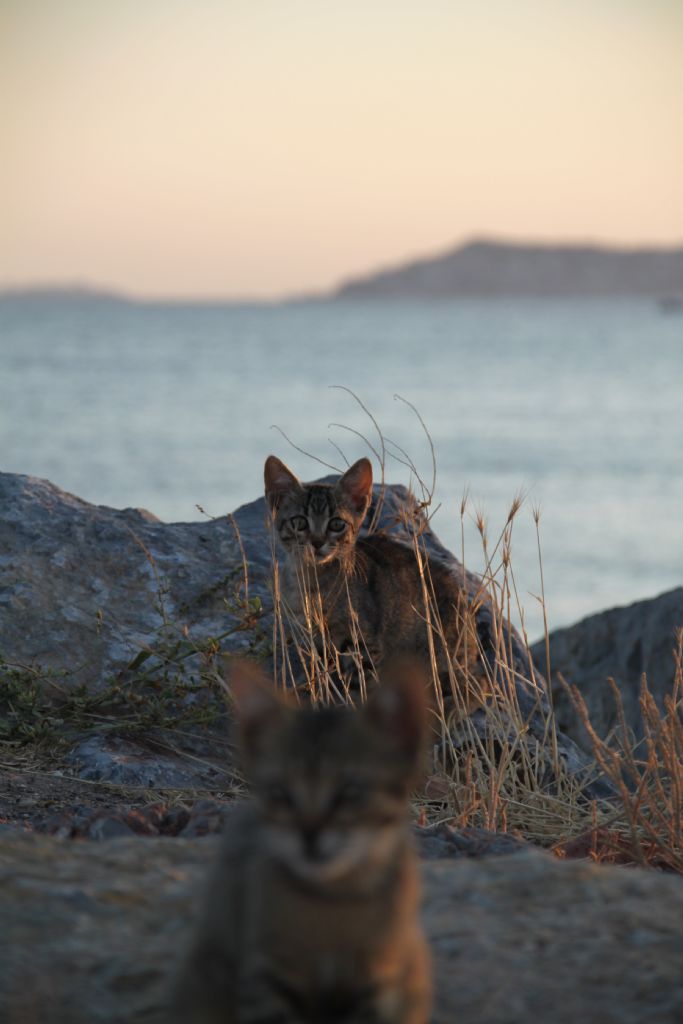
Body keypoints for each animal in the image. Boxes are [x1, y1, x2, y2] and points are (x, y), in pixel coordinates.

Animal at [174, 659, 430, 1019]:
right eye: (281, 794)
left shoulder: (379, 977)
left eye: (349, 792)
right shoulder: (268, 973)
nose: (309, 837)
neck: (333, 900)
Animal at [266, 456, 485, 712]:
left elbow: (357, 688)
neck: (313, 582)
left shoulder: (365, 646)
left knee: (477, 686)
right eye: (299, 522)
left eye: (336, 524)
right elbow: (320, 679)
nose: (317, 542)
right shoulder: (312, 642)